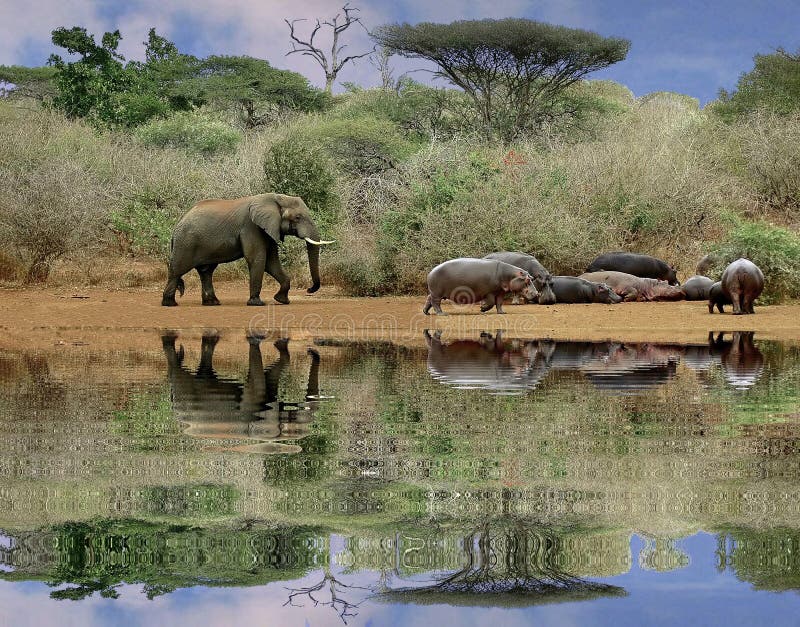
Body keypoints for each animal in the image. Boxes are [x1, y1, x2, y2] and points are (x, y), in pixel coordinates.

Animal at [162, 193, 334, 308]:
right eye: (297, 217)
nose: (309, 289)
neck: (276, 198)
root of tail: (177, 224)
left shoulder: (268, 229)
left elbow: (271, 262)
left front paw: (282, 301)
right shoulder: (251, 227)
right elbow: (257, 259)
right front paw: (257, 303)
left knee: (206, 272)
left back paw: (213, 303)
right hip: (186, 243)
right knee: (177, 270)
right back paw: (170, 304)